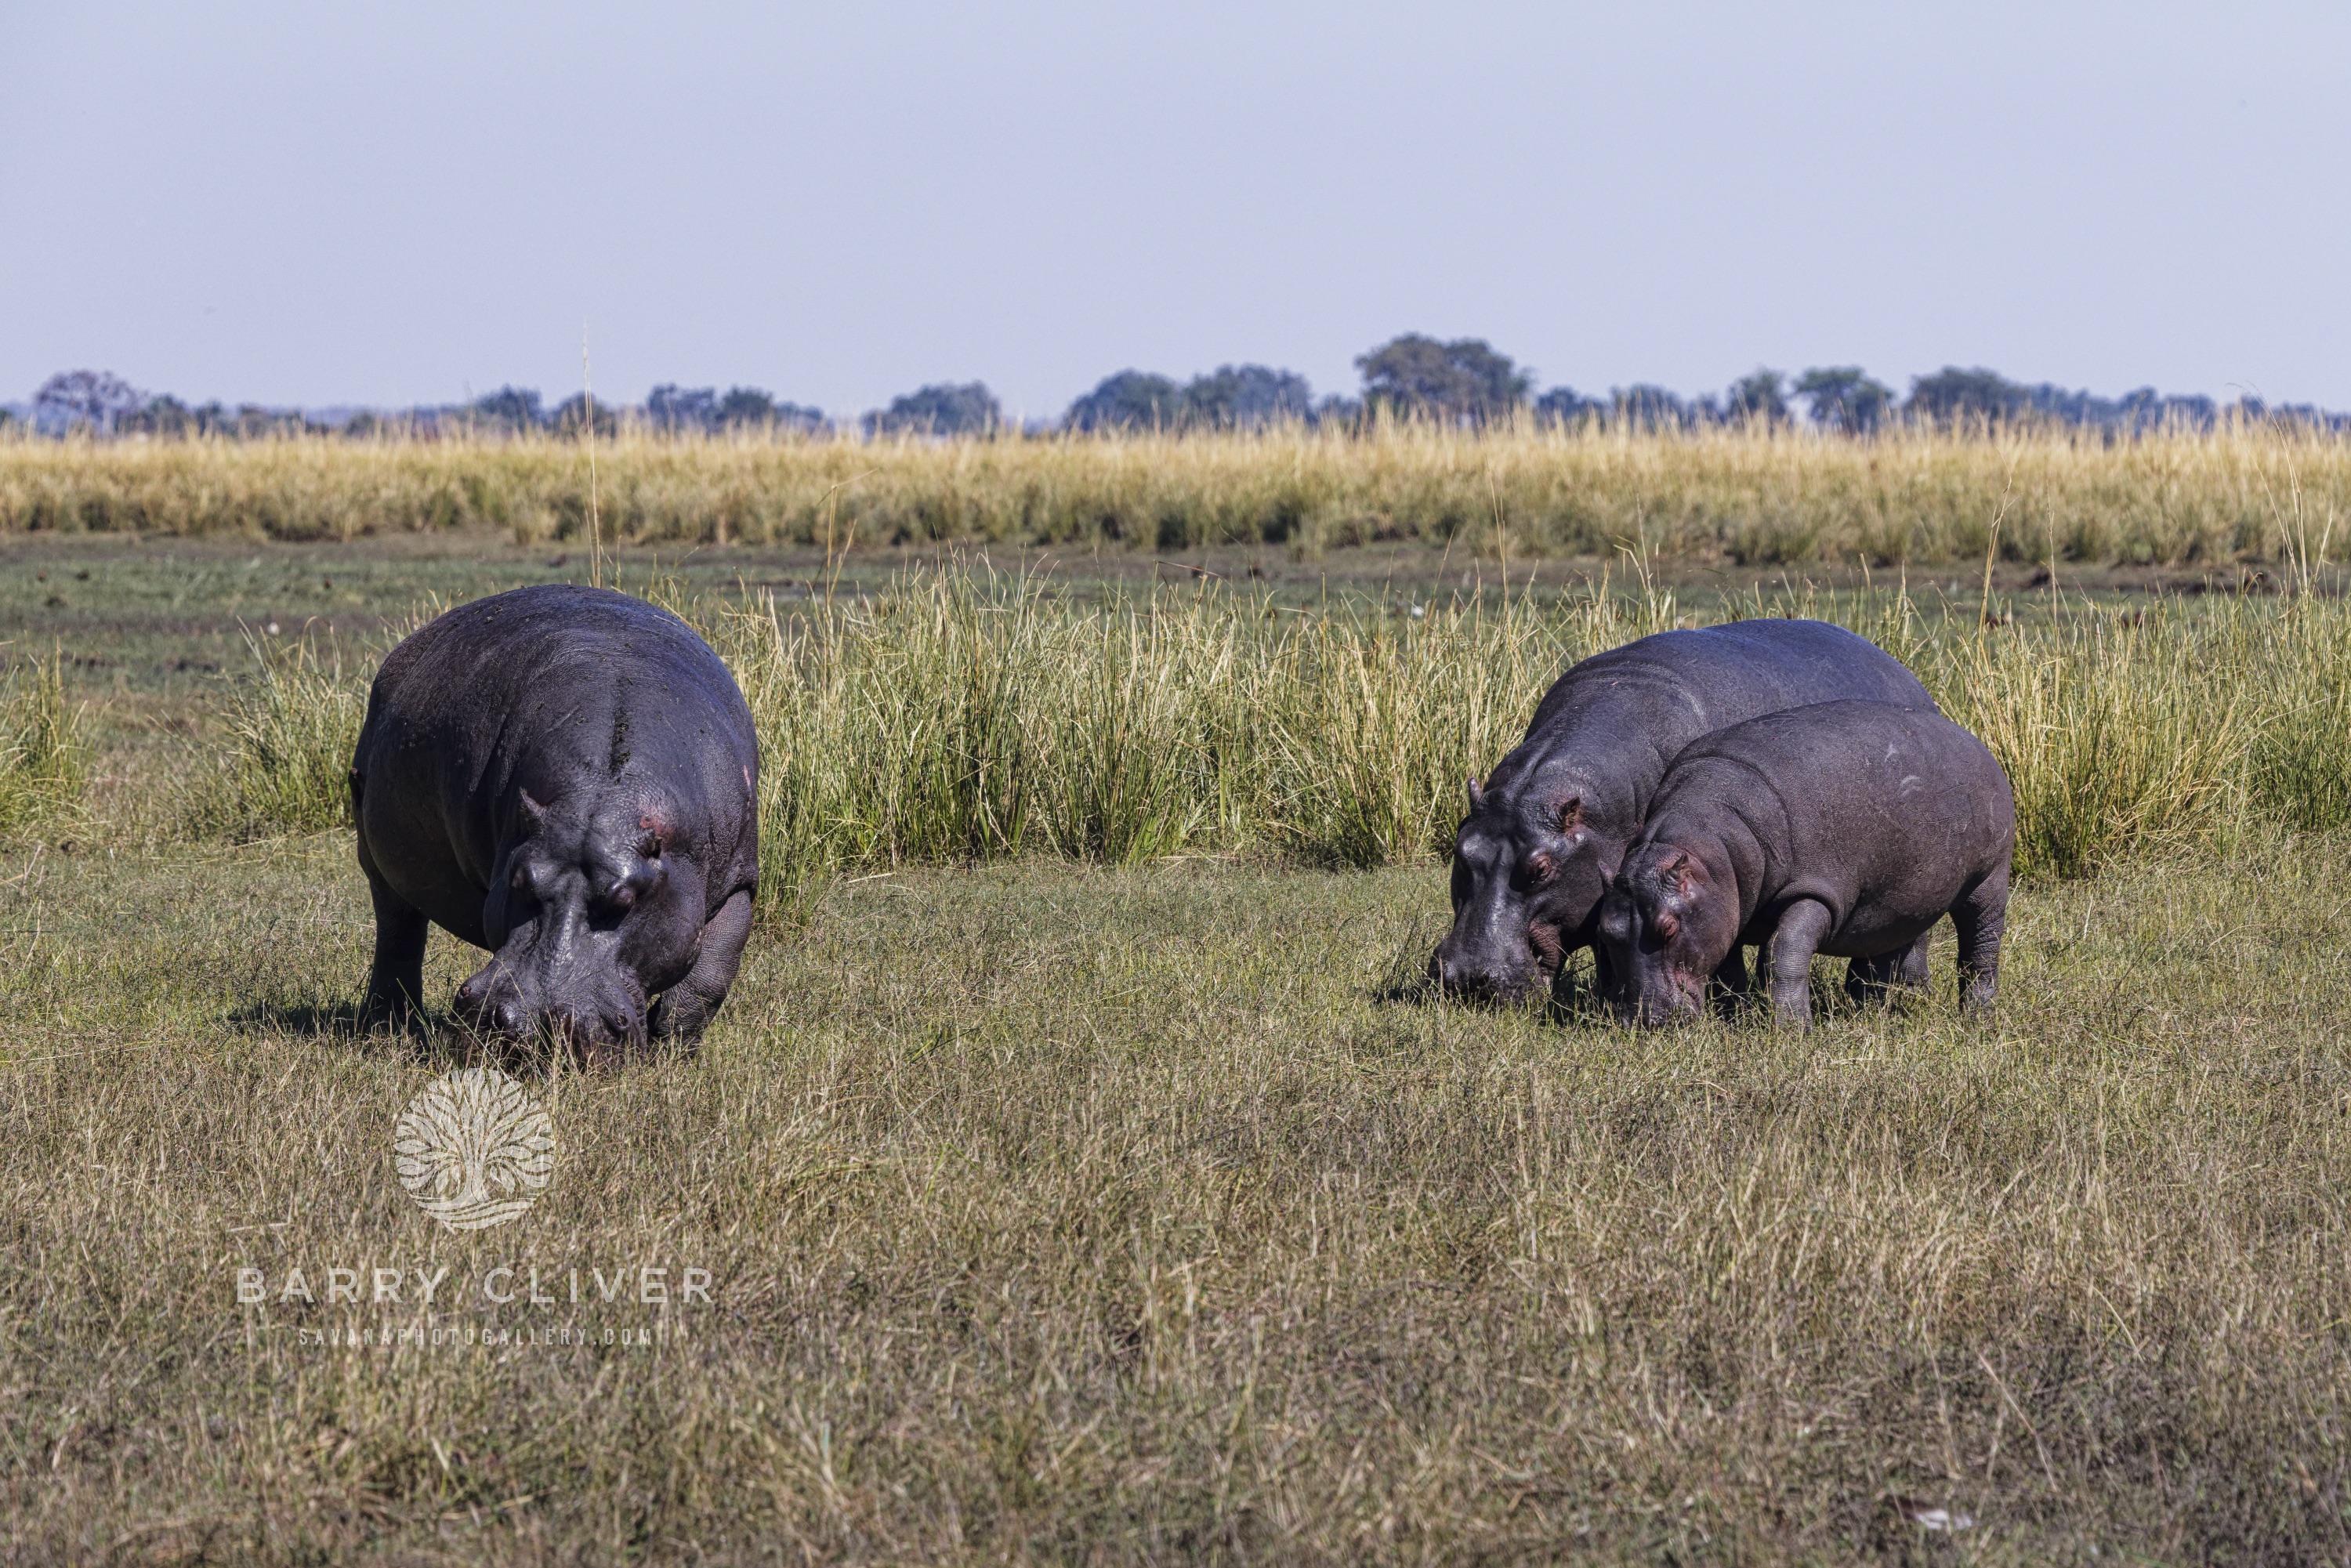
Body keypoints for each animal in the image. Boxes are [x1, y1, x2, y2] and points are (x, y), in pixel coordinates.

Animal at [351, 584, 760, 1060]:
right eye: (520, 881)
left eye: (625, 900)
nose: (536, 1022)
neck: (604, 793)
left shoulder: (740, 881)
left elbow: (710, 975)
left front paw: (673, 1049)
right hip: (375, 857)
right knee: (397, 933)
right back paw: (386, 1027)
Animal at [1596, 699, 2014, 1028]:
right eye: (1606, 932)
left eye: (1668, 928)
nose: (1646, 1021)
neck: (1712, 845)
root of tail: (1973, 740)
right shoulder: (1726, 909)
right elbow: (1729, 969)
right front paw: (1737, 1018)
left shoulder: (1815, 890)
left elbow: (1783, 952)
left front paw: (1793, 1031)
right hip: (1902, 895)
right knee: (1894, 944)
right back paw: (1886, 1006)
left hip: (1988, 880)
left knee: (1981, 946)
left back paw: (1977, 1017)